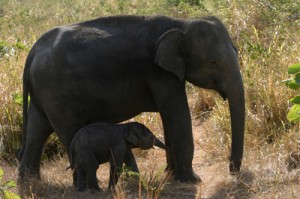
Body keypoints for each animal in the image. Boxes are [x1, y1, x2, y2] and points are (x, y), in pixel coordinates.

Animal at [18, 15, 244, 183]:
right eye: (213, 62)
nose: (232, 172)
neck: (180, 24)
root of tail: (32, 53)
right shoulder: (158, 72)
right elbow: (176, 113)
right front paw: (192, 180)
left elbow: (169, 116)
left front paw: (170, 175)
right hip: (56, 90)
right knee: (69, 130)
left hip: (45, 91)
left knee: (37, 130)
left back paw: (31, 183)